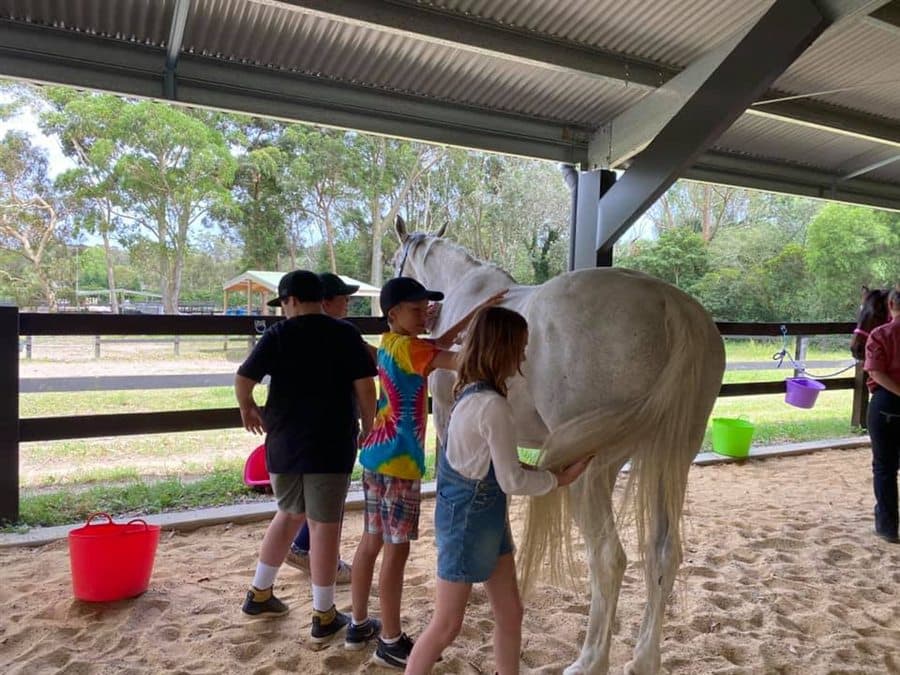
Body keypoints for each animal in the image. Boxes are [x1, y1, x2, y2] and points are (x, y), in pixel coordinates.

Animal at [392, 217, 726, 675]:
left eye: (397, 259)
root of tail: (670, 306)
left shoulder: (449, 419)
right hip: (669, 461)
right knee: (664, 554)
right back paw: (644, 659)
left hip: (595, 471)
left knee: (608, 558)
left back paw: (589, 660)